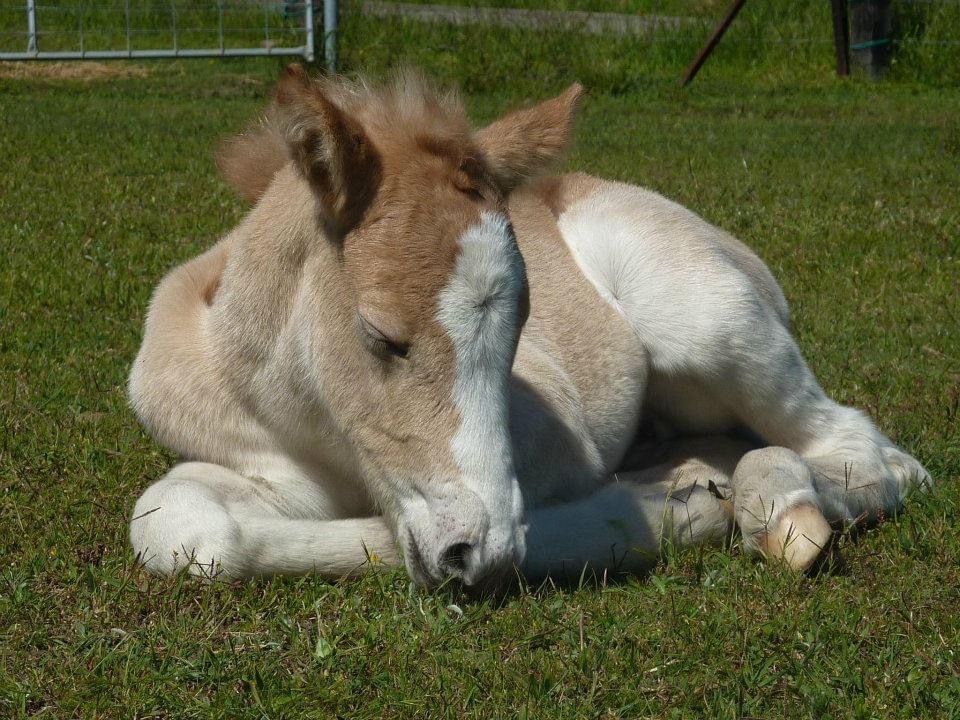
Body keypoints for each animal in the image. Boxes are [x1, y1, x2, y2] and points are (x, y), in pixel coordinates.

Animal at [128, 65, 931, 589]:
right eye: (382, 337)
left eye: (519, 332)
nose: (474, 554)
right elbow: (182, 529)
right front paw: (688, 494)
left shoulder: (559, 442)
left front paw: (677, 510)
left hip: (709, 323)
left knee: (869, 451)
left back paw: (779, 507)